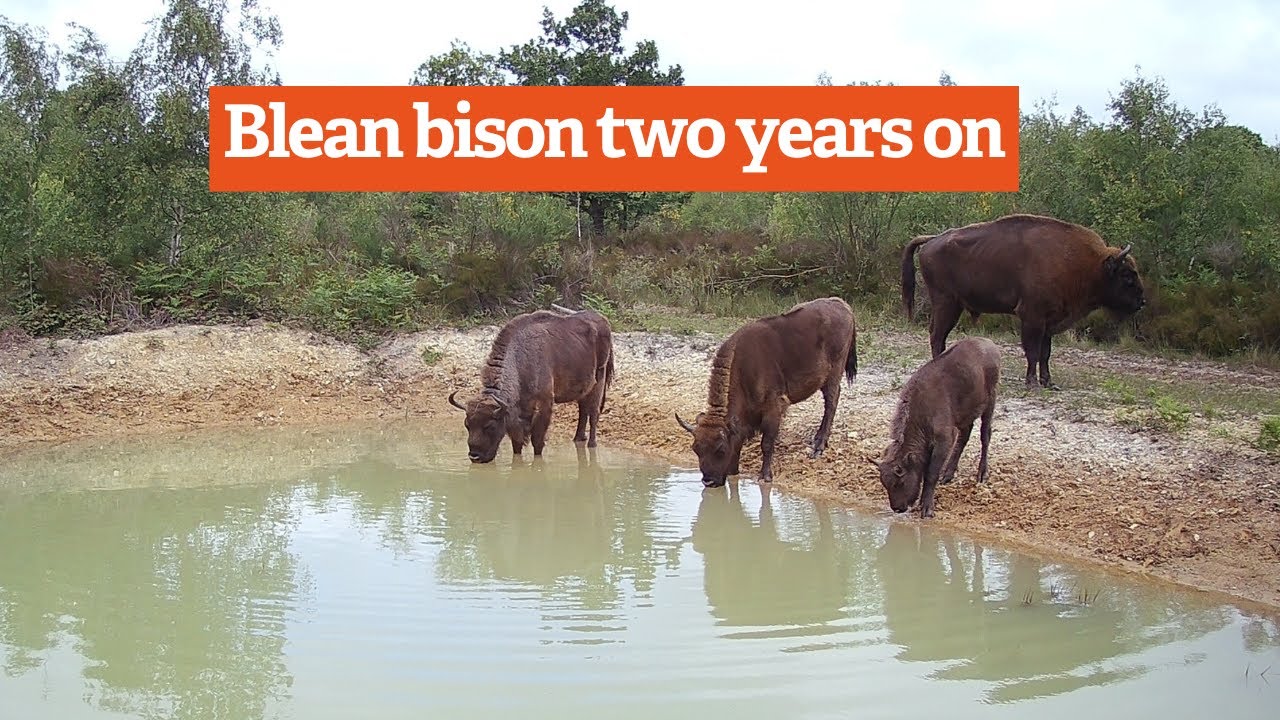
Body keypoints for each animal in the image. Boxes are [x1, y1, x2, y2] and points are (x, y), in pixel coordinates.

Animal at [448, 307, 614, 463]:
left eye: (489, 426)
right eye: (467, 425)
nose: (475, 457)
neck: (520, 360)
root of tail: (604, 321)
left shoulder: (544, 405)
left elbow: (537, 441)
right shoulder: (517, 416)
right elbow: (517, 442)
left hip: (599, 382)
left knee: (593, 413)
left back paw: (591, 443)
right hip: (584, 389)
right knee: (583, 410)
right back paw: (578, 438)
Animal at [676, 297, 858, 488]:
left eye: (720, 449)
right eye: (695, 449)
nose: (708, 481)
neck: (743, 369)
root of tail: (841, 303)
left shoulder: (774, 408)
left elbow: (767, 443)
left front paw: (765, 476)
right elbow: (739, 442)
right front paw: (734, 471)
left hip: (834, 374)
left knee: (831, 402)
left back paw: (818, 445)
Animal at [867, 336, 1001, 518]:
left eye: (900, 481)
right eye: (884, 483)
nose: (897, 508)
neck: (920, 409)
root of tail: (989, 344)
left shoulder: (943, 441)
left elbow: (931, 474)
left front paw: (927, 509)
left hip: (989, 403)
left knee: (985, 435)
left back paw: (981, 474)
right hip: (965, 415)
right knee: (964, 436)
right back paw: (948, 475)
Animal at [902, 213, 1145, 389]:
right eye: (1127, 275)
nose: (1141, 301)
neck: (1087, 264)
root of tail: (932, 240)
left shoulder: (1049, 321)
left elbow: (1045, 353)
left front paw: (1049, 383)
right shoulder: (1032, 317)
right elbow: (1033, 351)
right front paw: (1032, 383)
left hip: (950, 305)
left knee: (937, 335)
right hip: (947, 303)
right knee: (937, 335)